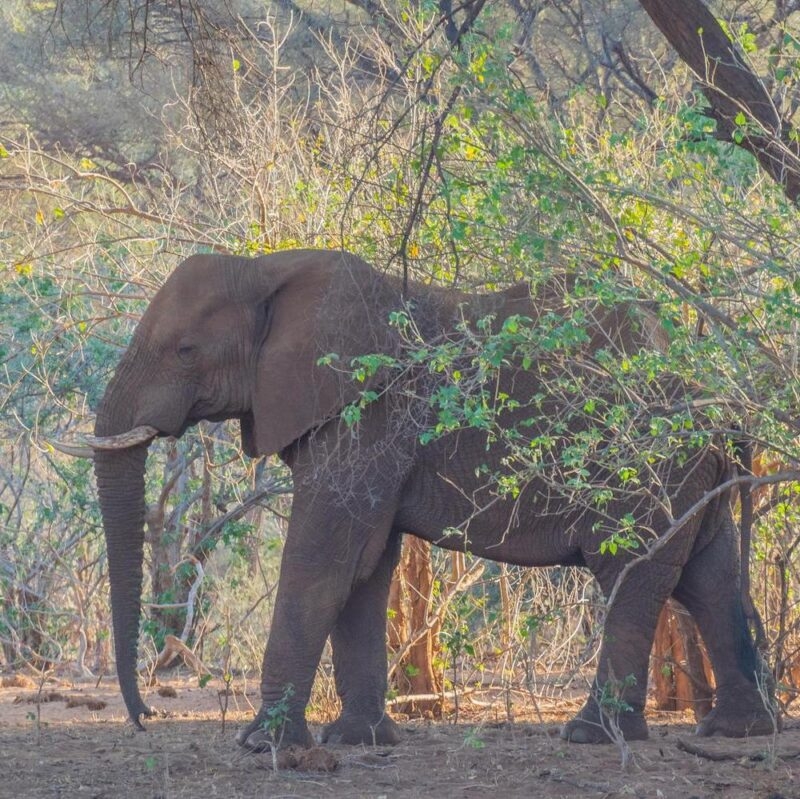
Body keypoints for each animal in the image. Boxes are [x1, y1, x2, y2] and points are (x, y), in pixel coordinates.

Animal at [72, 248, 775, 749]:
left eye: (185, 351)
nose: (144, 718)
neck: (269, 267)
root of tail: (722, 402)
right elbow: (364, 570)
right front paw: (357, 742)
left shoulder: (369, 415)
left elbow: (324, 561)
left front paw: (262, 745)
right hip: (692, 477)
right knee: (707, 577)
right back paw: (736, 731)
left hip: (646, 468)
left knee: (635, 575)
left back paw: (591, 736)